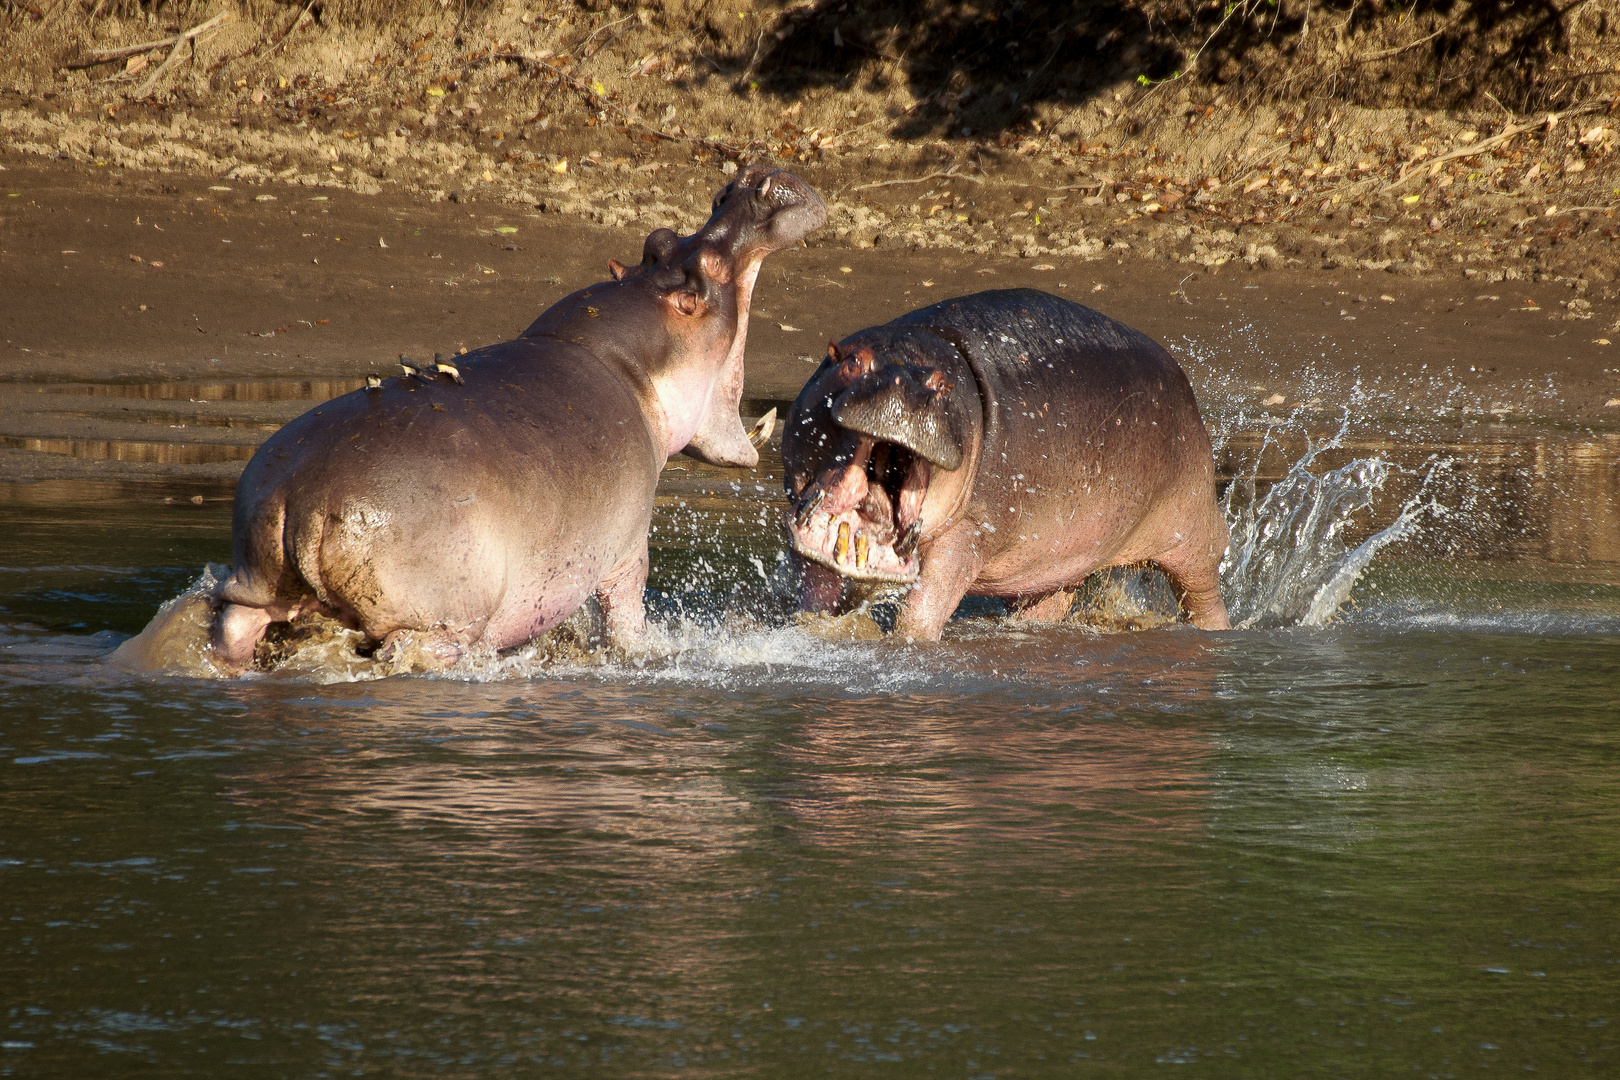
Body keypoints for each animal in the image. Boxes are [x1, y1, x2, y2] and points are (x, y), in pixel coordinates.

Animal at [205, 165, 822, 670]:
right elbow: (626, 622)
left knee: (235, 624)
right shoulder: (626, 549)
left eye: (661, 240)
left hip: (254, 584)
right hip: (439, 621)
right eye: (710, 270)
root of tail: (301, 497)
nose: (754, 181)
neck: (627, 360)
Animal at [780, 289, 1224, 641]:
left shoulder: (969, 532)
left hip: (1193, 530)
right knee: (1045, 606)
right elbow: (813, 593)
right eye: (852, 361)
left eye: (942, 384)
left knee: (1205, 594)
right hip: (1057, 562)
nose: (904, 389)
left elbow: (924, 609)